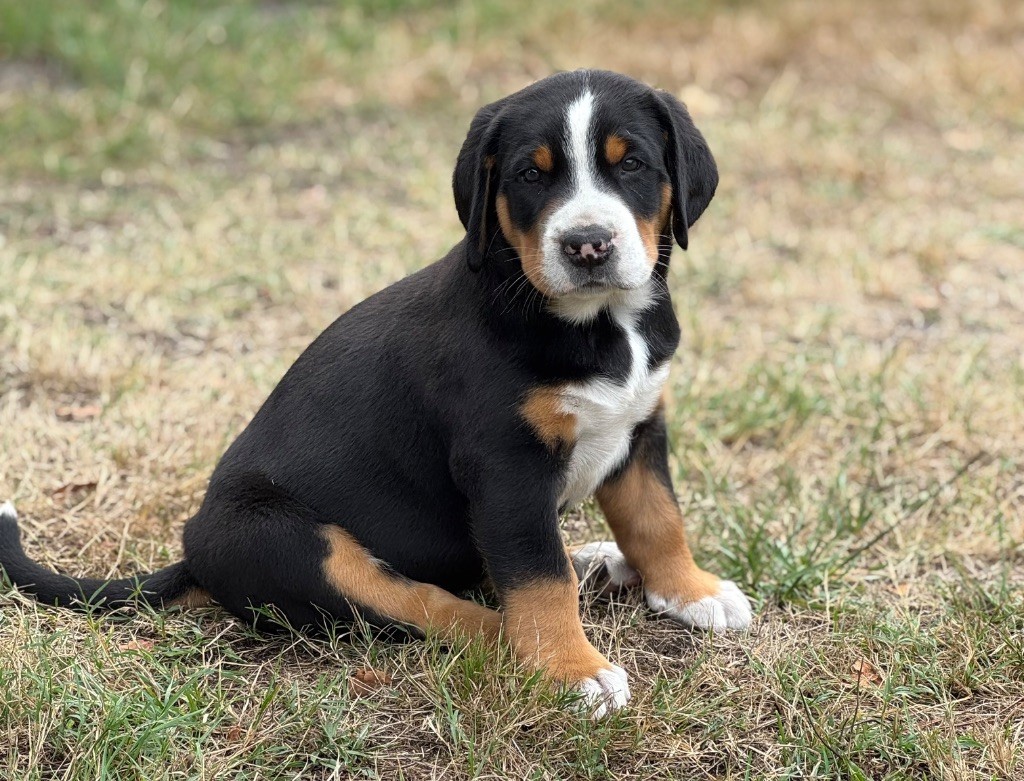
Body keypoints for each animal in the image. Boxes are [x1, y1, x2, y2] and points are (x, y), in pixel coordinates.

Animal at [0, 69, 752, 718]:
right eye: (531, 175)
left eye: (633, 165)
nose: (587, 244)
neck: (600, 324)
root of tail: (194, 554)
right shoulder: (505, 465)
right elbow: (539, 575)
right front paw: (570, 668)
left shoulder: (640, 425)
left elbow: (657, 517)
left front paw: (691, 591)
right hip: (300, 543)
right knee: (426, 603)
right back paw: (516, 630)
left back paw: (598, 561)